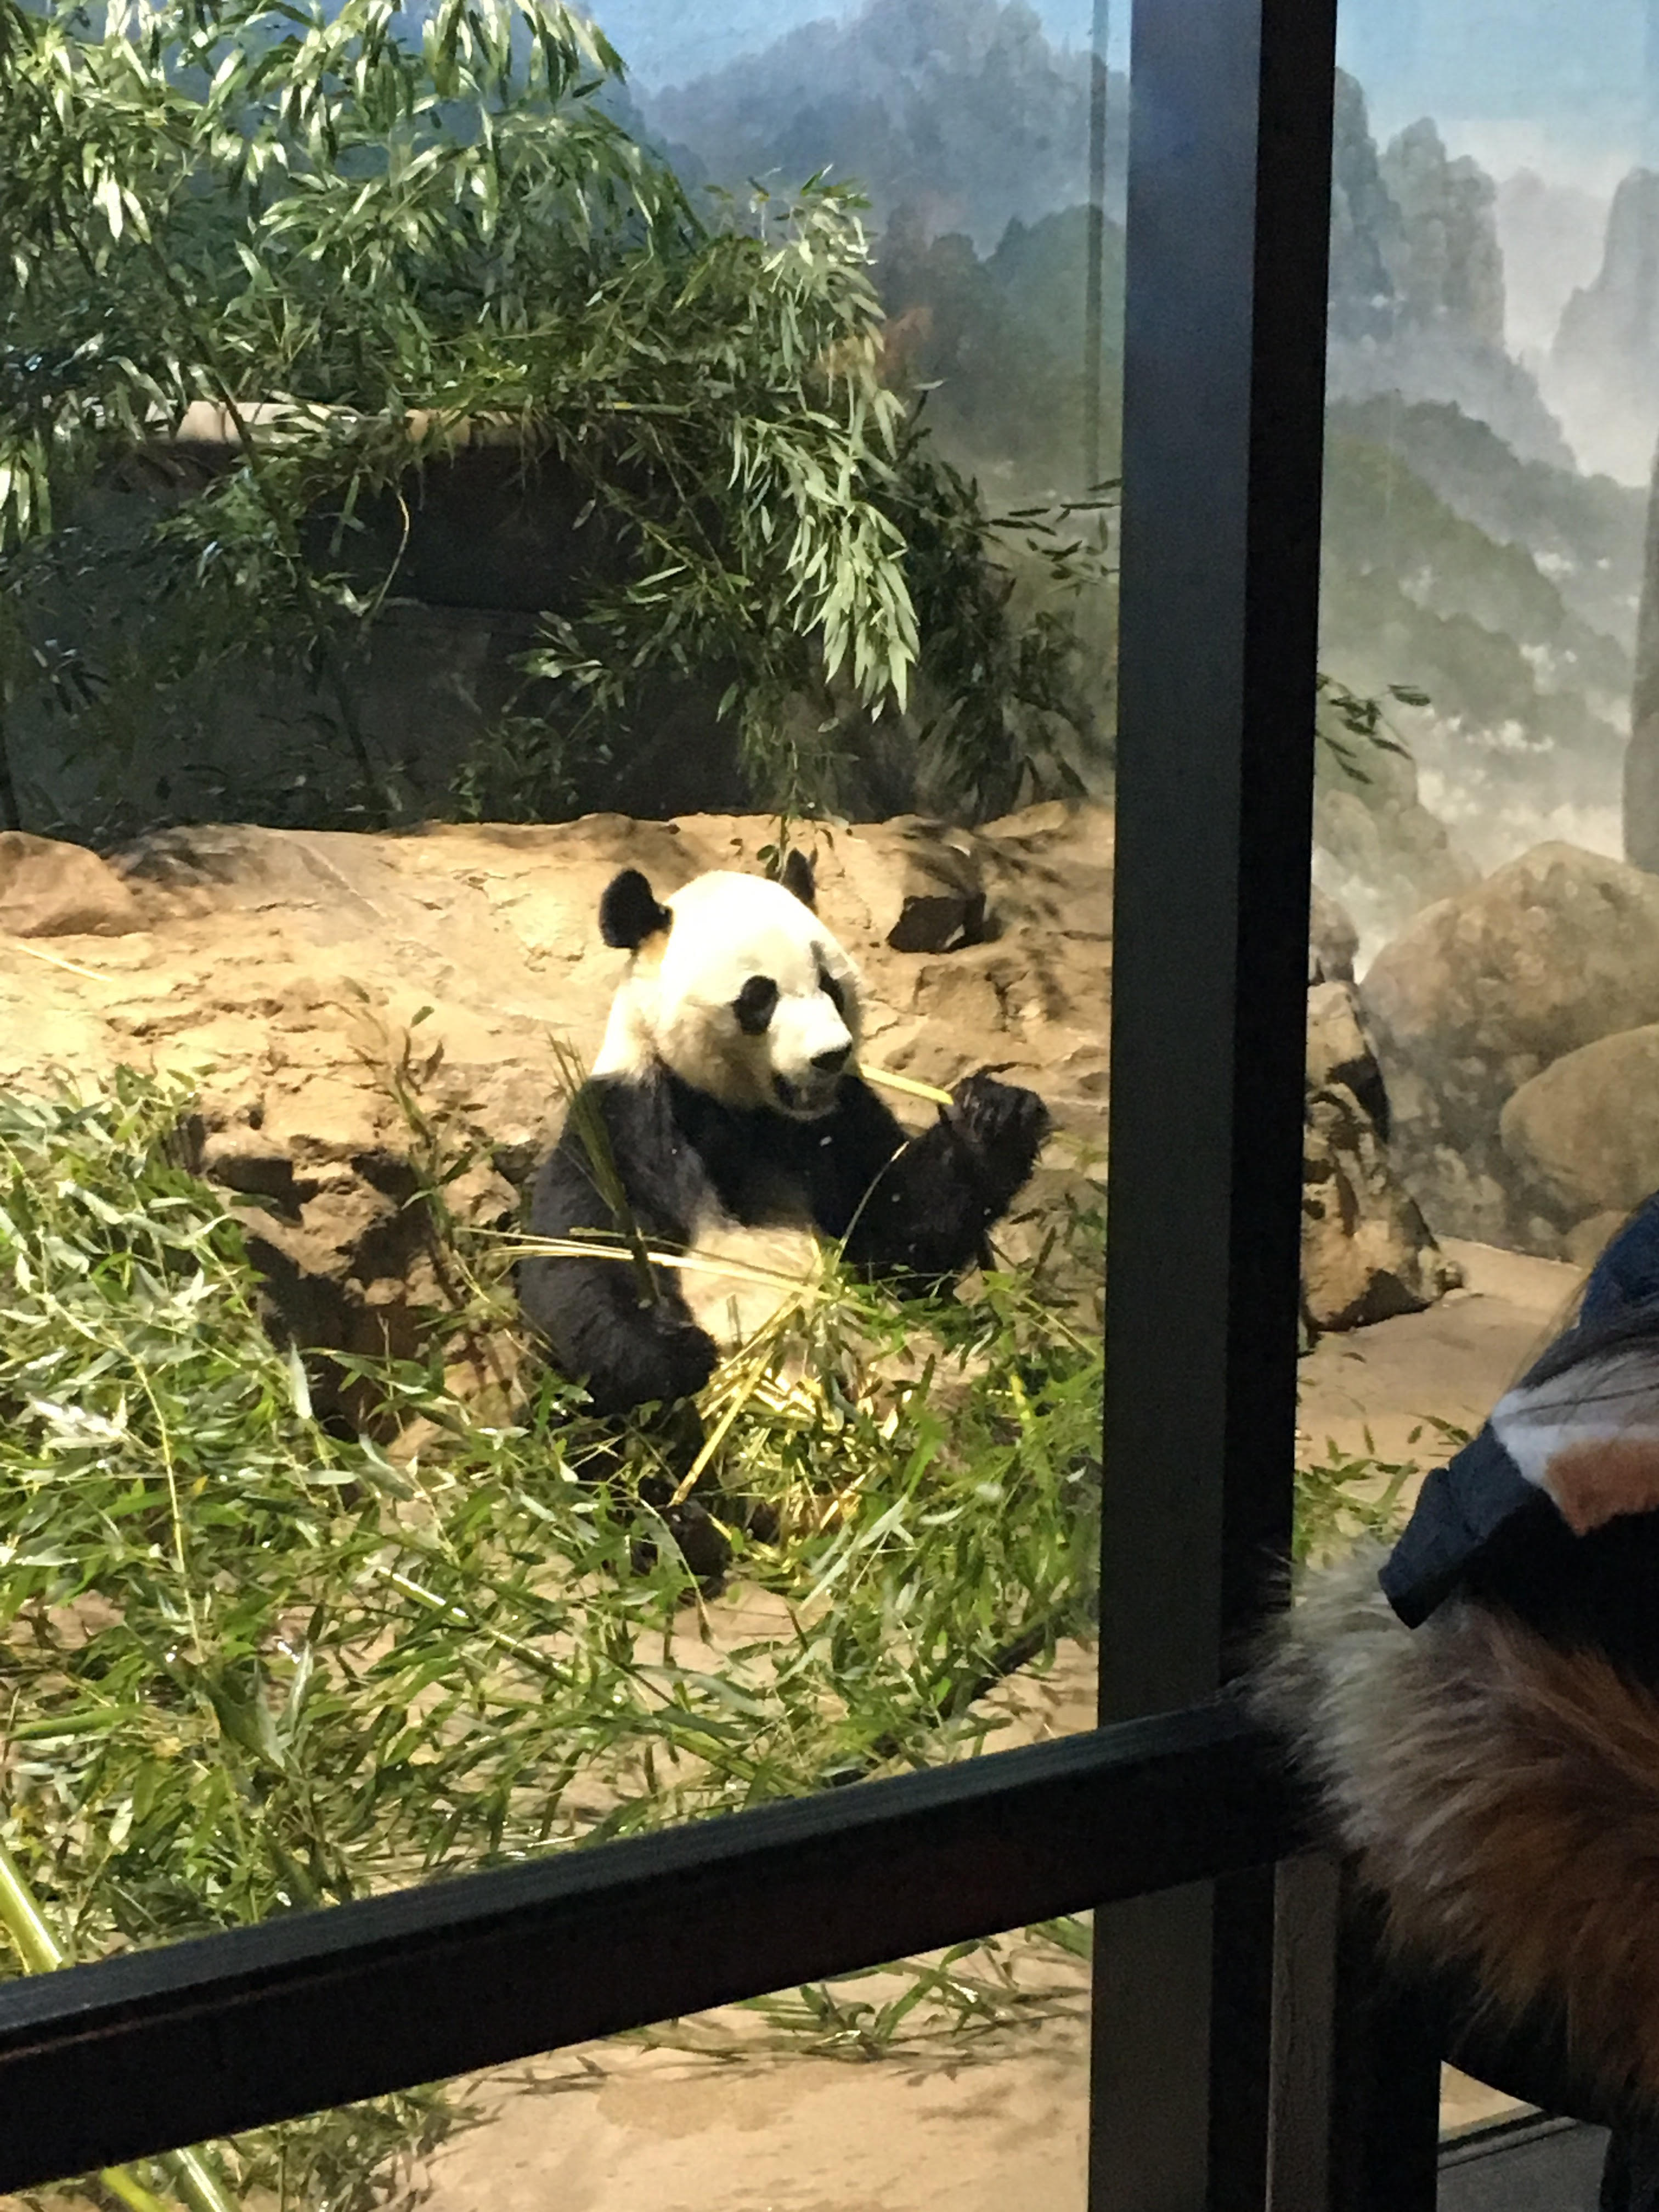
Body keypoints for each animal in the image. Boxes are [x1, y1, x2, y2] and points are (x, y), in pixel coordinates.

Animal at [522, 854, 1053, 1424]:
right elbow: (582, 1259)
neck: (743, 1113)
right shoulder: (626, 1123)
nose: (832, 1055)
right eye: (760, 996)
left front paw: (995, 1117)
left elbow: (898, 1235)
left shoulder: (838, 1123)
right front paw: (675, 1355)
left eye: (831, 985)